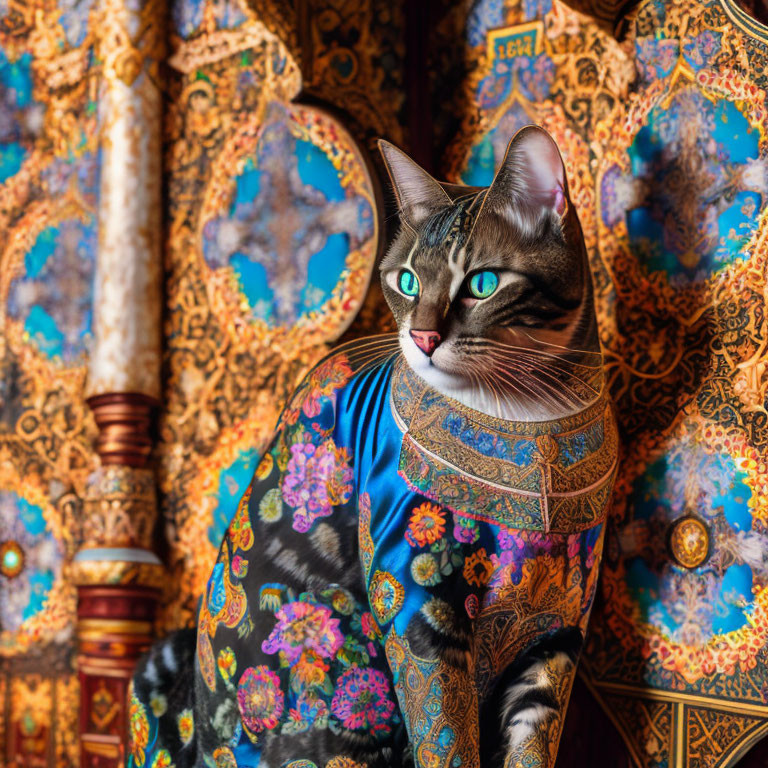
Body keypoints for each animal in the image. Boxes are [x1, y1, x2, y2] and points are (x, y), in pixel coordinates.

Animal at [127, 126, 616, 768]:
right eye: (407, 281)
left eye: (483, 283)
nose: (423, 337)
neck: (535, 430)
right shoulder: (416, 607)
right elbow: (446, 741)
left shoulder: (559, 627)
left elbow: (533, 744)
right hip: (336, 648)